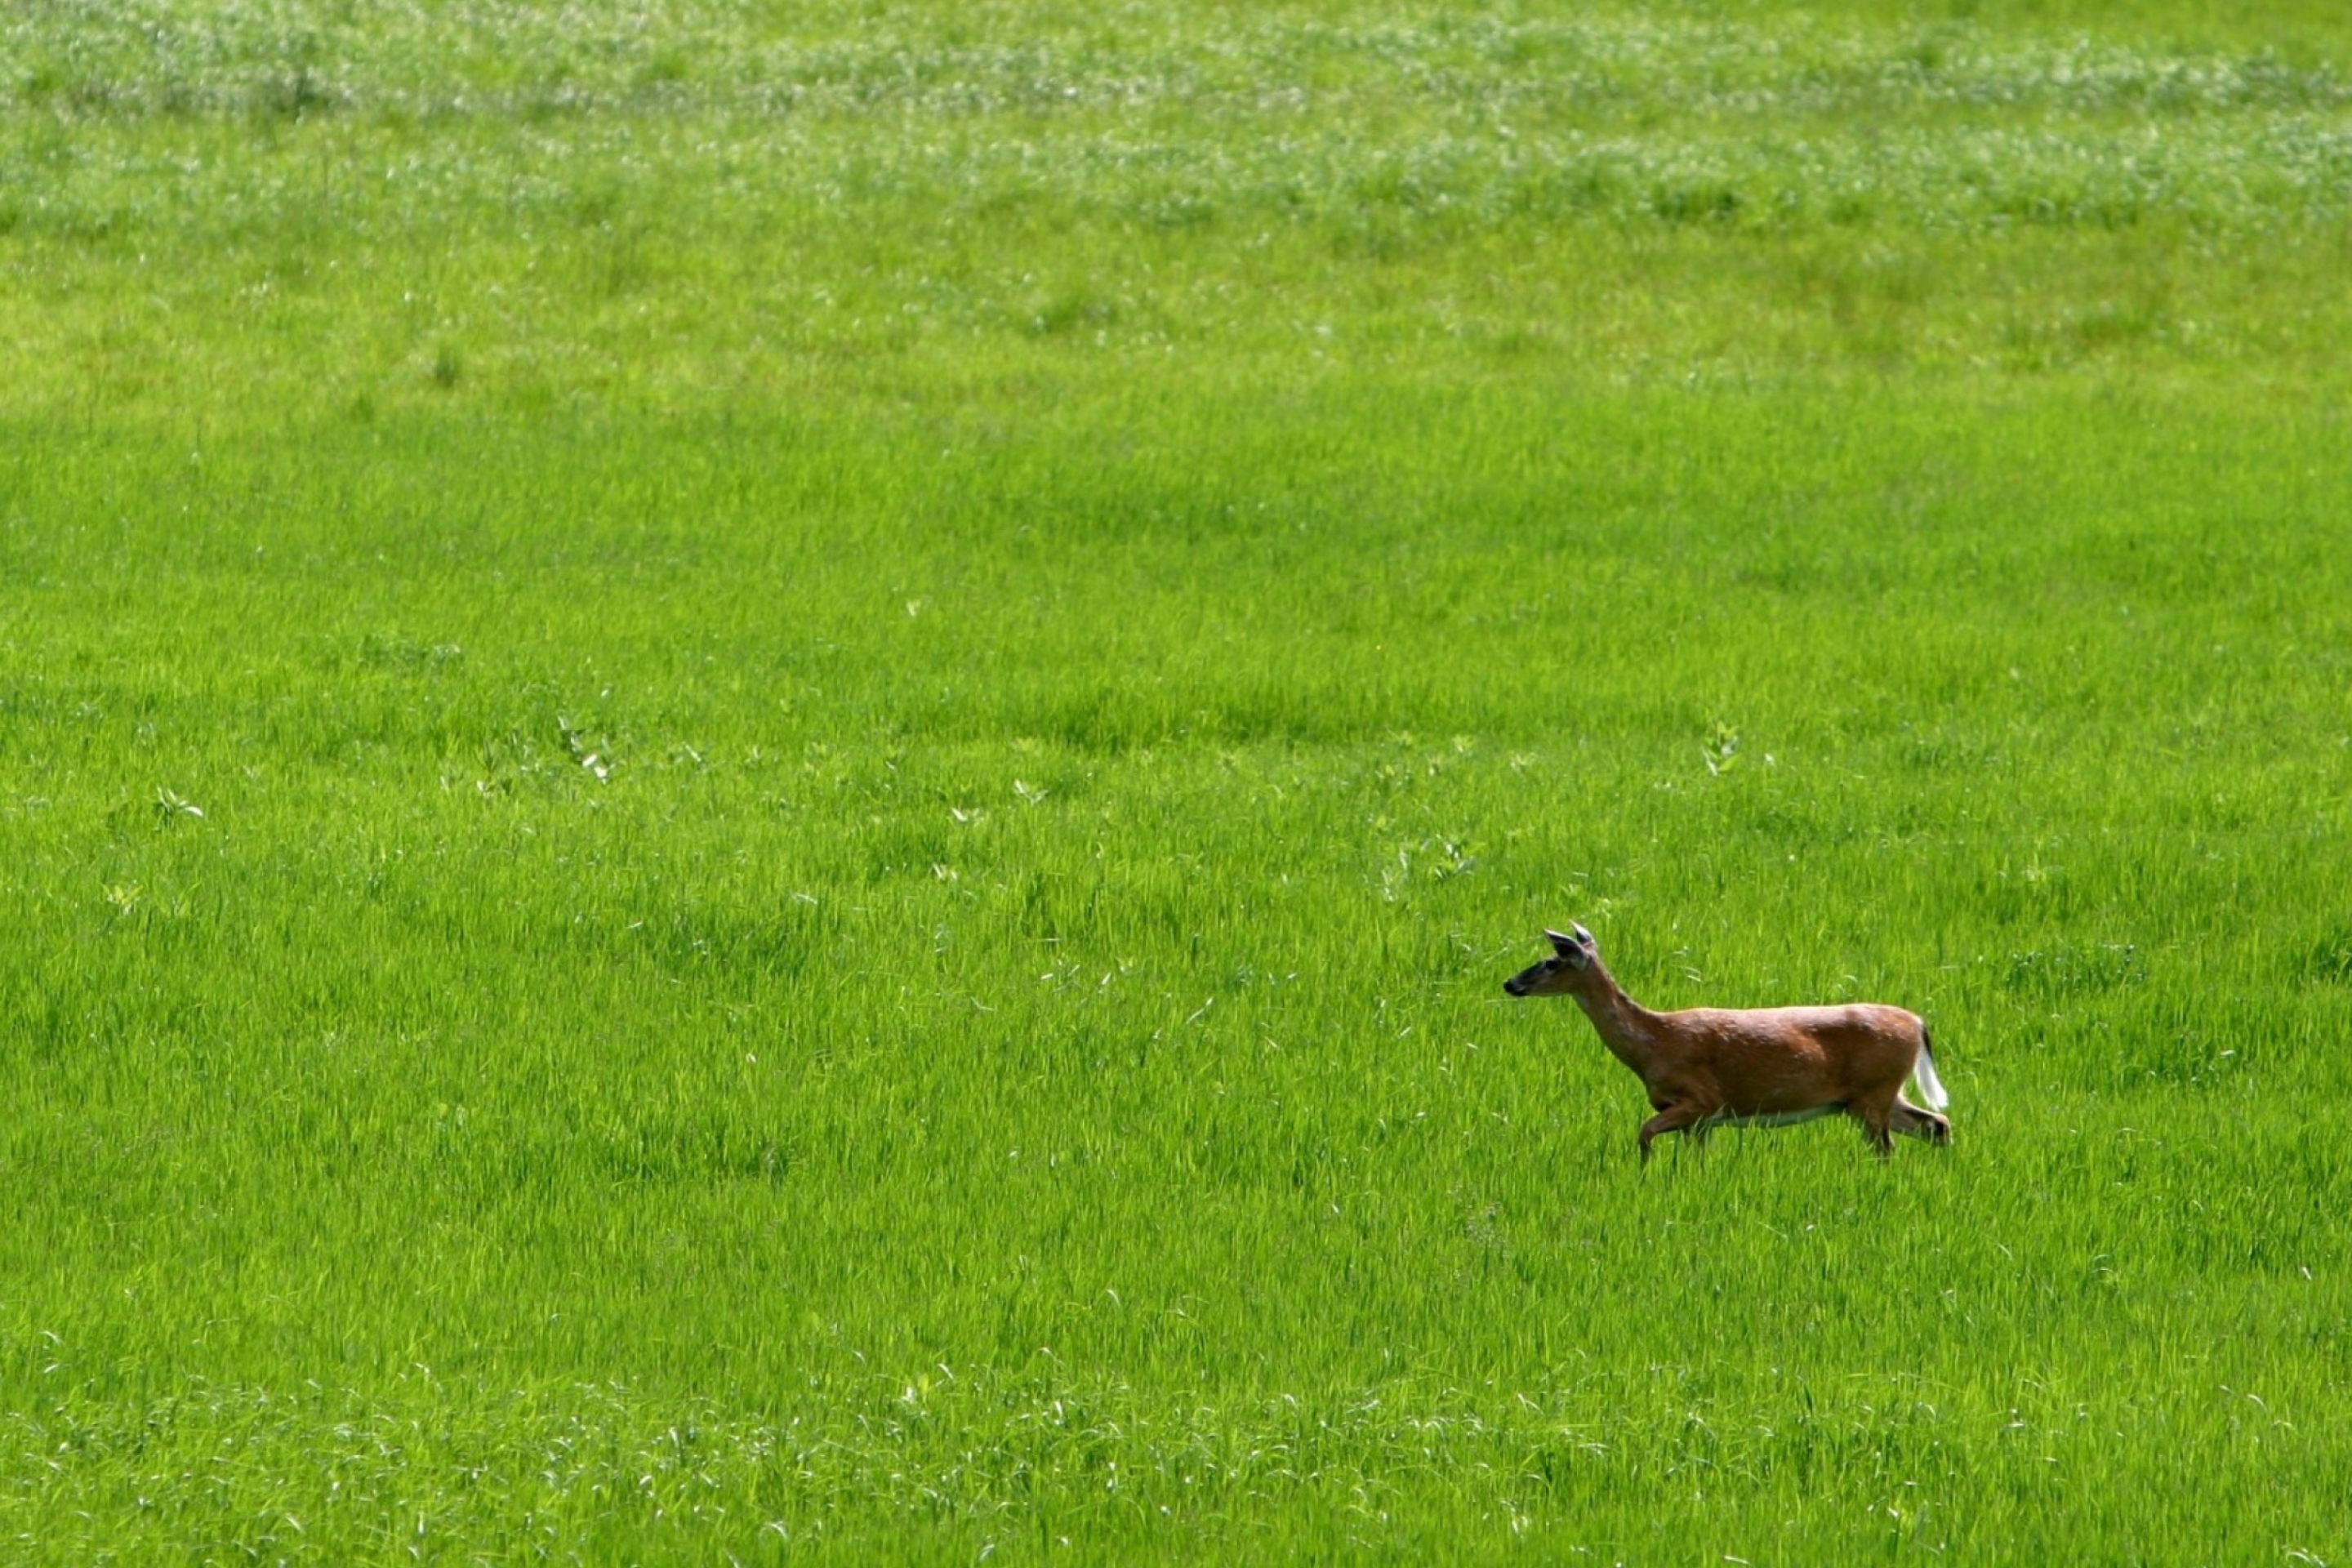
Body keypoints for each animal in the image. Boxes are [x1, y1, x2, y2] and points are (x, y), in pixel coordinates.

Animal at [1505, 926, 1947, 1161]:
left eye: (1551, 962)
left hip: (1873, 1092)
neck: (1652, 1046)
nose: (1510, 983)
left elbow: (1644, 1133)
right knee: (1936, 1123)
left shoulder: (1702, 1100)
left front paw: (1644, 1174)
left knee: (1891, 1146)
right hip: (1875, 1095)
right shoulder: (1699, 1119)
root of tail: (1917, 1023)